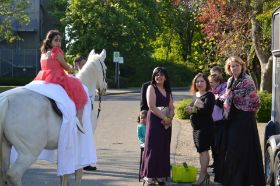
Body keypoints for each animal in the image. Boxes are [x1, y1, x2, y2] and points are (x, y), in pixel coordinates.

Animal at [0, 48, 107, 185]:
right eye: (105, 68)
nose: (104, 88)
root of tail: (6, 100)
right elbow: (78, 173)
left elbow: (64, 174)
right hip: (29, 152)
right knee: (13, 175)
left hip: (6, 147)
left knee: (3, 175)